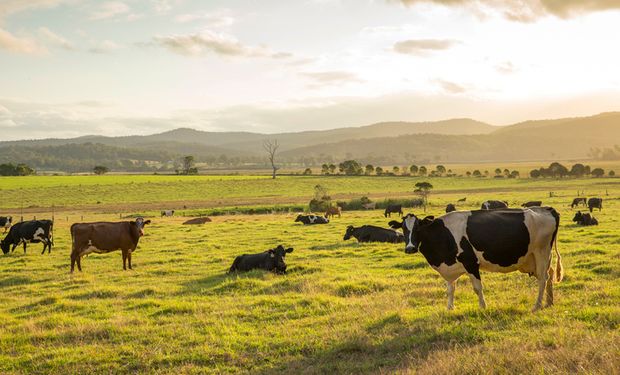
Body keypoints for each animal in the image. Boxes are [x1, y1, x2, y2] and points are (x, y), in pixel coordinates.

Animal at [390, 207, 564, 312]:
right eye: (403, 229)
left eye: (418, 228)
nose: (410, 248)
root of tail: (546, 209)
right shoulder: (451, 268)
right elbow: (450, 289)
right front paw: (450, 308)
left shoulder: (471, 263)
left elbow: (477, 288)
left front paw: (483, 307)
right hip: (539, 257)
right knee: (549, 274)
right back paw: (549, 302)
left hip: (541, 252)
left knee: (543, 279)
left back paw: (537, 305)